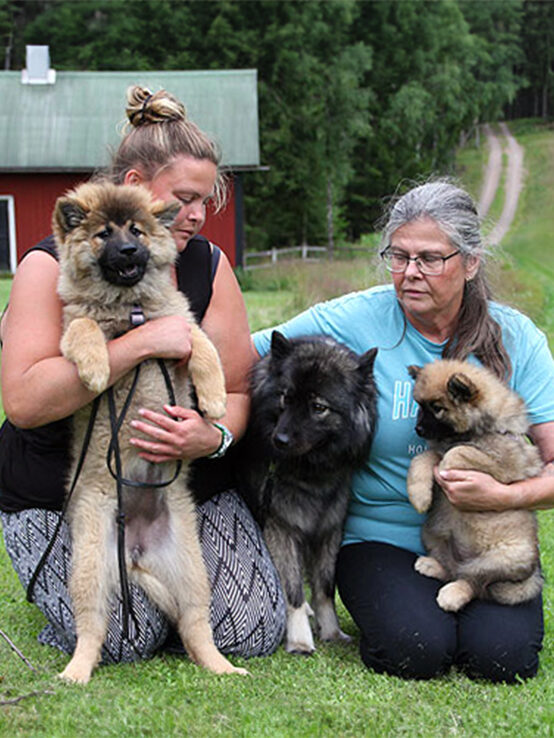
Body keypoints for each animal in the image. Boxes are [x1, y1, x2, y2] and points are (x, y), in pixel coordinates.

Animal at [52, 180, 246, 680]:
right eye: (103, 234)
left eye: (136, 230)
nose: (126, 251)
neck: (131, 309)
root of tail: (135, 551)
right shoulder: (73, 326)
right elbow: (84, 326)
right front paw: (97, 368)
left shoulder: (179, 324)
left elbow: (203, 345)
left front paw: (214, 398)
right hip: (90, 565)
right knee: (92, 628)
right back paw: (75, 672)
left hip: (190, 570)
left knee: (197, 626)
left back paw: (222, 668)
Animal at [240, 330, 376, 652]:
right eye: (286, 397)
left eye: (318, 407)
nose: (280, 440)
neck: (310, 472)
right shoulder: (280, 527)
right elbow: (292, 591)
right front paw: (300, 639)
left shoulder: (330, 529)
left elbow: (325, 587)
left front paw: (332, 632)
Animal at [406, 360, 540, 612]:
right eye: (420, 405)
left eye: (437, 408)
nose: (418, 429)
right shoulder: (437, 451)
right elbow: (422, 459)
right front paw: (419, 496)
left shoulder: (505, 463)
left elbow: (460, 451)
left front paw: (447, 466)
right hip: (431, 532)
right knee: (454, 570)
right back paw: (433, 565)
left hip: (505, 557)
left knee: (475, 582)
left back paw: (453, 594)